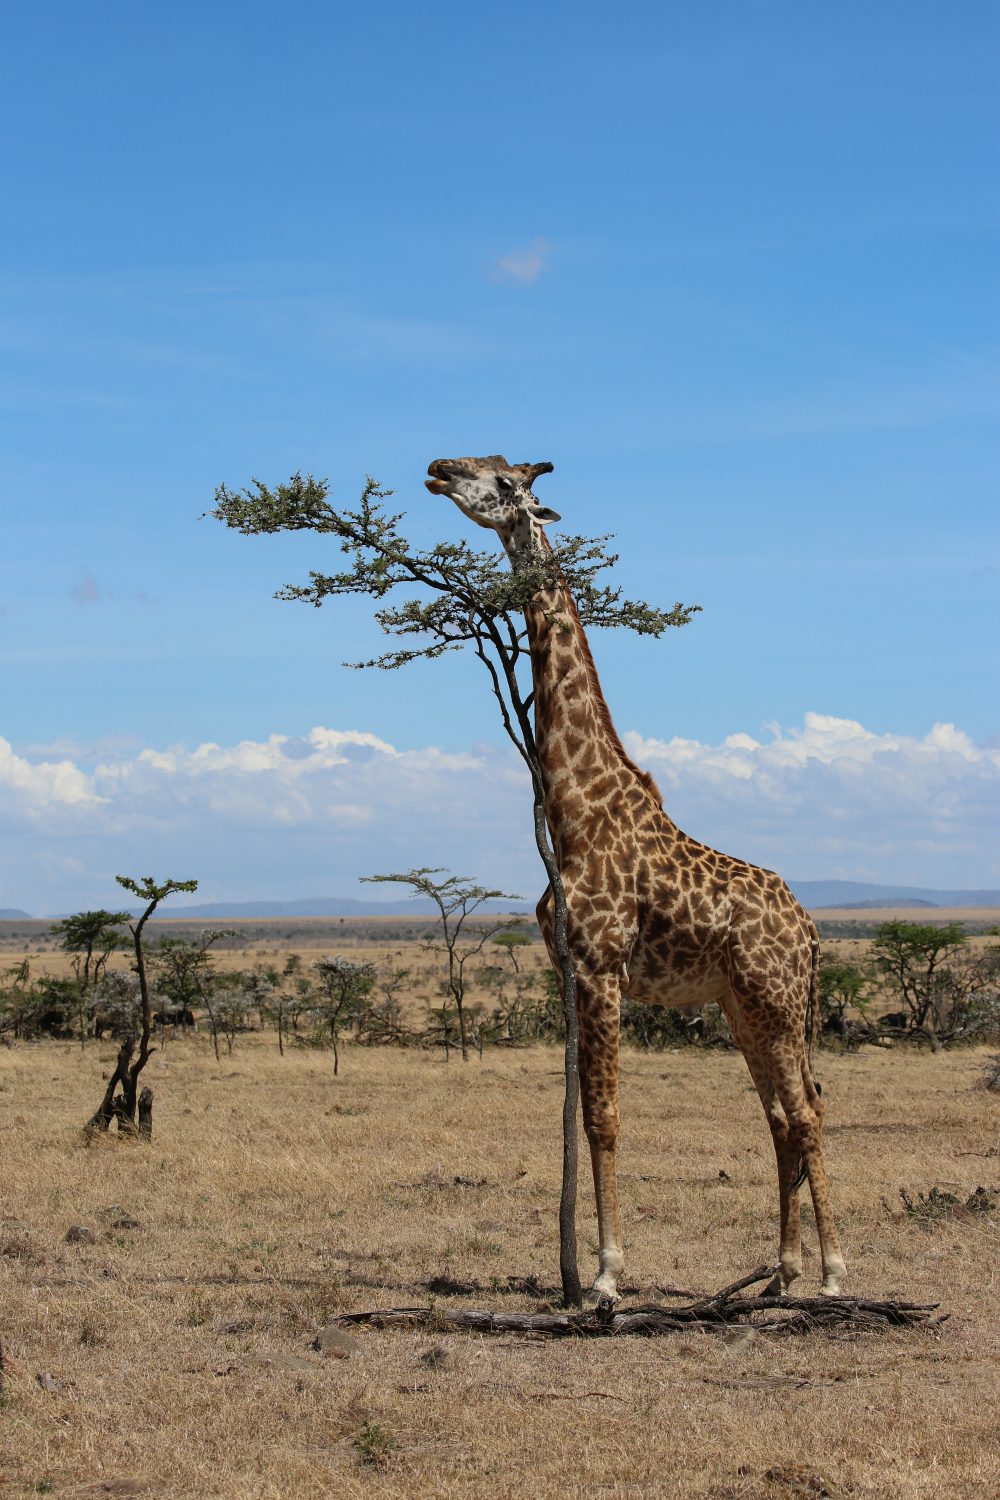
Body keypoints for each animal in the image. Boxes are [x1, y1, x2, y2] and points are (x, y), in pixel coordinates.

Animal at [426, 453, 847, 1304]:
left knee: (809, 1113)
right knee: (782, 1117)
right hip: (744, 1006)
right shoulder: (570, 970)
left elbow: (605, 1118)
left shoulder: (601, 965)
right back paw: (782, 1273)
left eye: (502, 480)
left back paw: (832, 1274)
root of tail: (811, 929)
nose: (437, 468)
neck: (574, 805)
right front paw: (589, 1268)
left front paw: (606, 1275)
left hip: (781, 1002)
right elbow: (581, 1116)